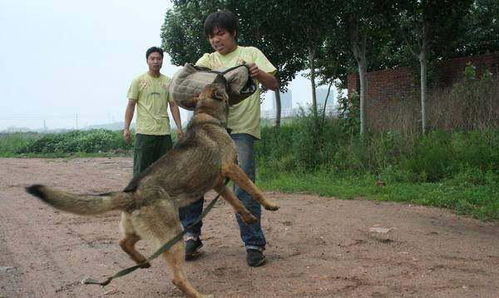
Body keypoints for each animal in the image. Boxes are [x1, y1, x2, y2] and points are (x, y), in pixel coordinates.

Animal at [25, 82, 280, 298]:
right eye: (222, 82)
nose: (226, 74)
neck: (207, 116)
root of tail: (132, 194)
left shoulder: (219, 182)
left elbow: (236, 202)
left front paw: (248, 216)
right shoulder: (231, 168)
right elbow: (254, 190)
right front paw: (270, 205)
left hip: (142, 231)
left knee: (123, 243)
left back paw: (143, 261)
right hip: (172, 234)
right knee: (176, 278)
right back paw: (198, 294)